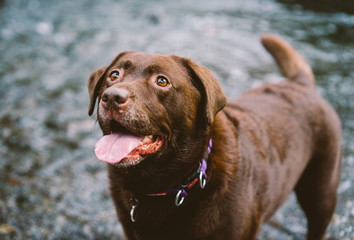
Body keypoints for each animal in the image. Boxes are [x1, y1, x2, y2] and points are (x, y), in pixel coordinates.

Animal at [87, 34, 342, 239]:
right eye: (114, 75)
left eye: (162, 81)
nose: (112, 97)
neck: (159, 187)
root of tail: (301, 84)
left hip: (321, 193)